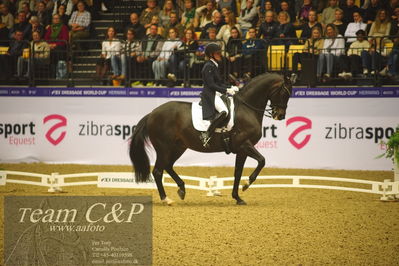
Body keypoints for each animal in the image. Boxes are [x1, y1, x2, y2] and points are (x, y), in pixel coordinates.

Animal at [130, 72, 292, 206]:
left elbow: (237, 172)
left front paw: (237, 198)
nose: (280, 115)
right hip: (164, 147)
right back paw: (166, 199)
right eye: (285, 93)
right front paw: (246, 184)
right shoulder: (244, 145)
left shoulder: (241, 150)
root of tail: (152, 113)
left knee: (168, 166)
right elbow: (262, 161)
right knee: (158, 171)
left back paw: (182, 189)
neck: (247, 109)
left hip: (178, 147)